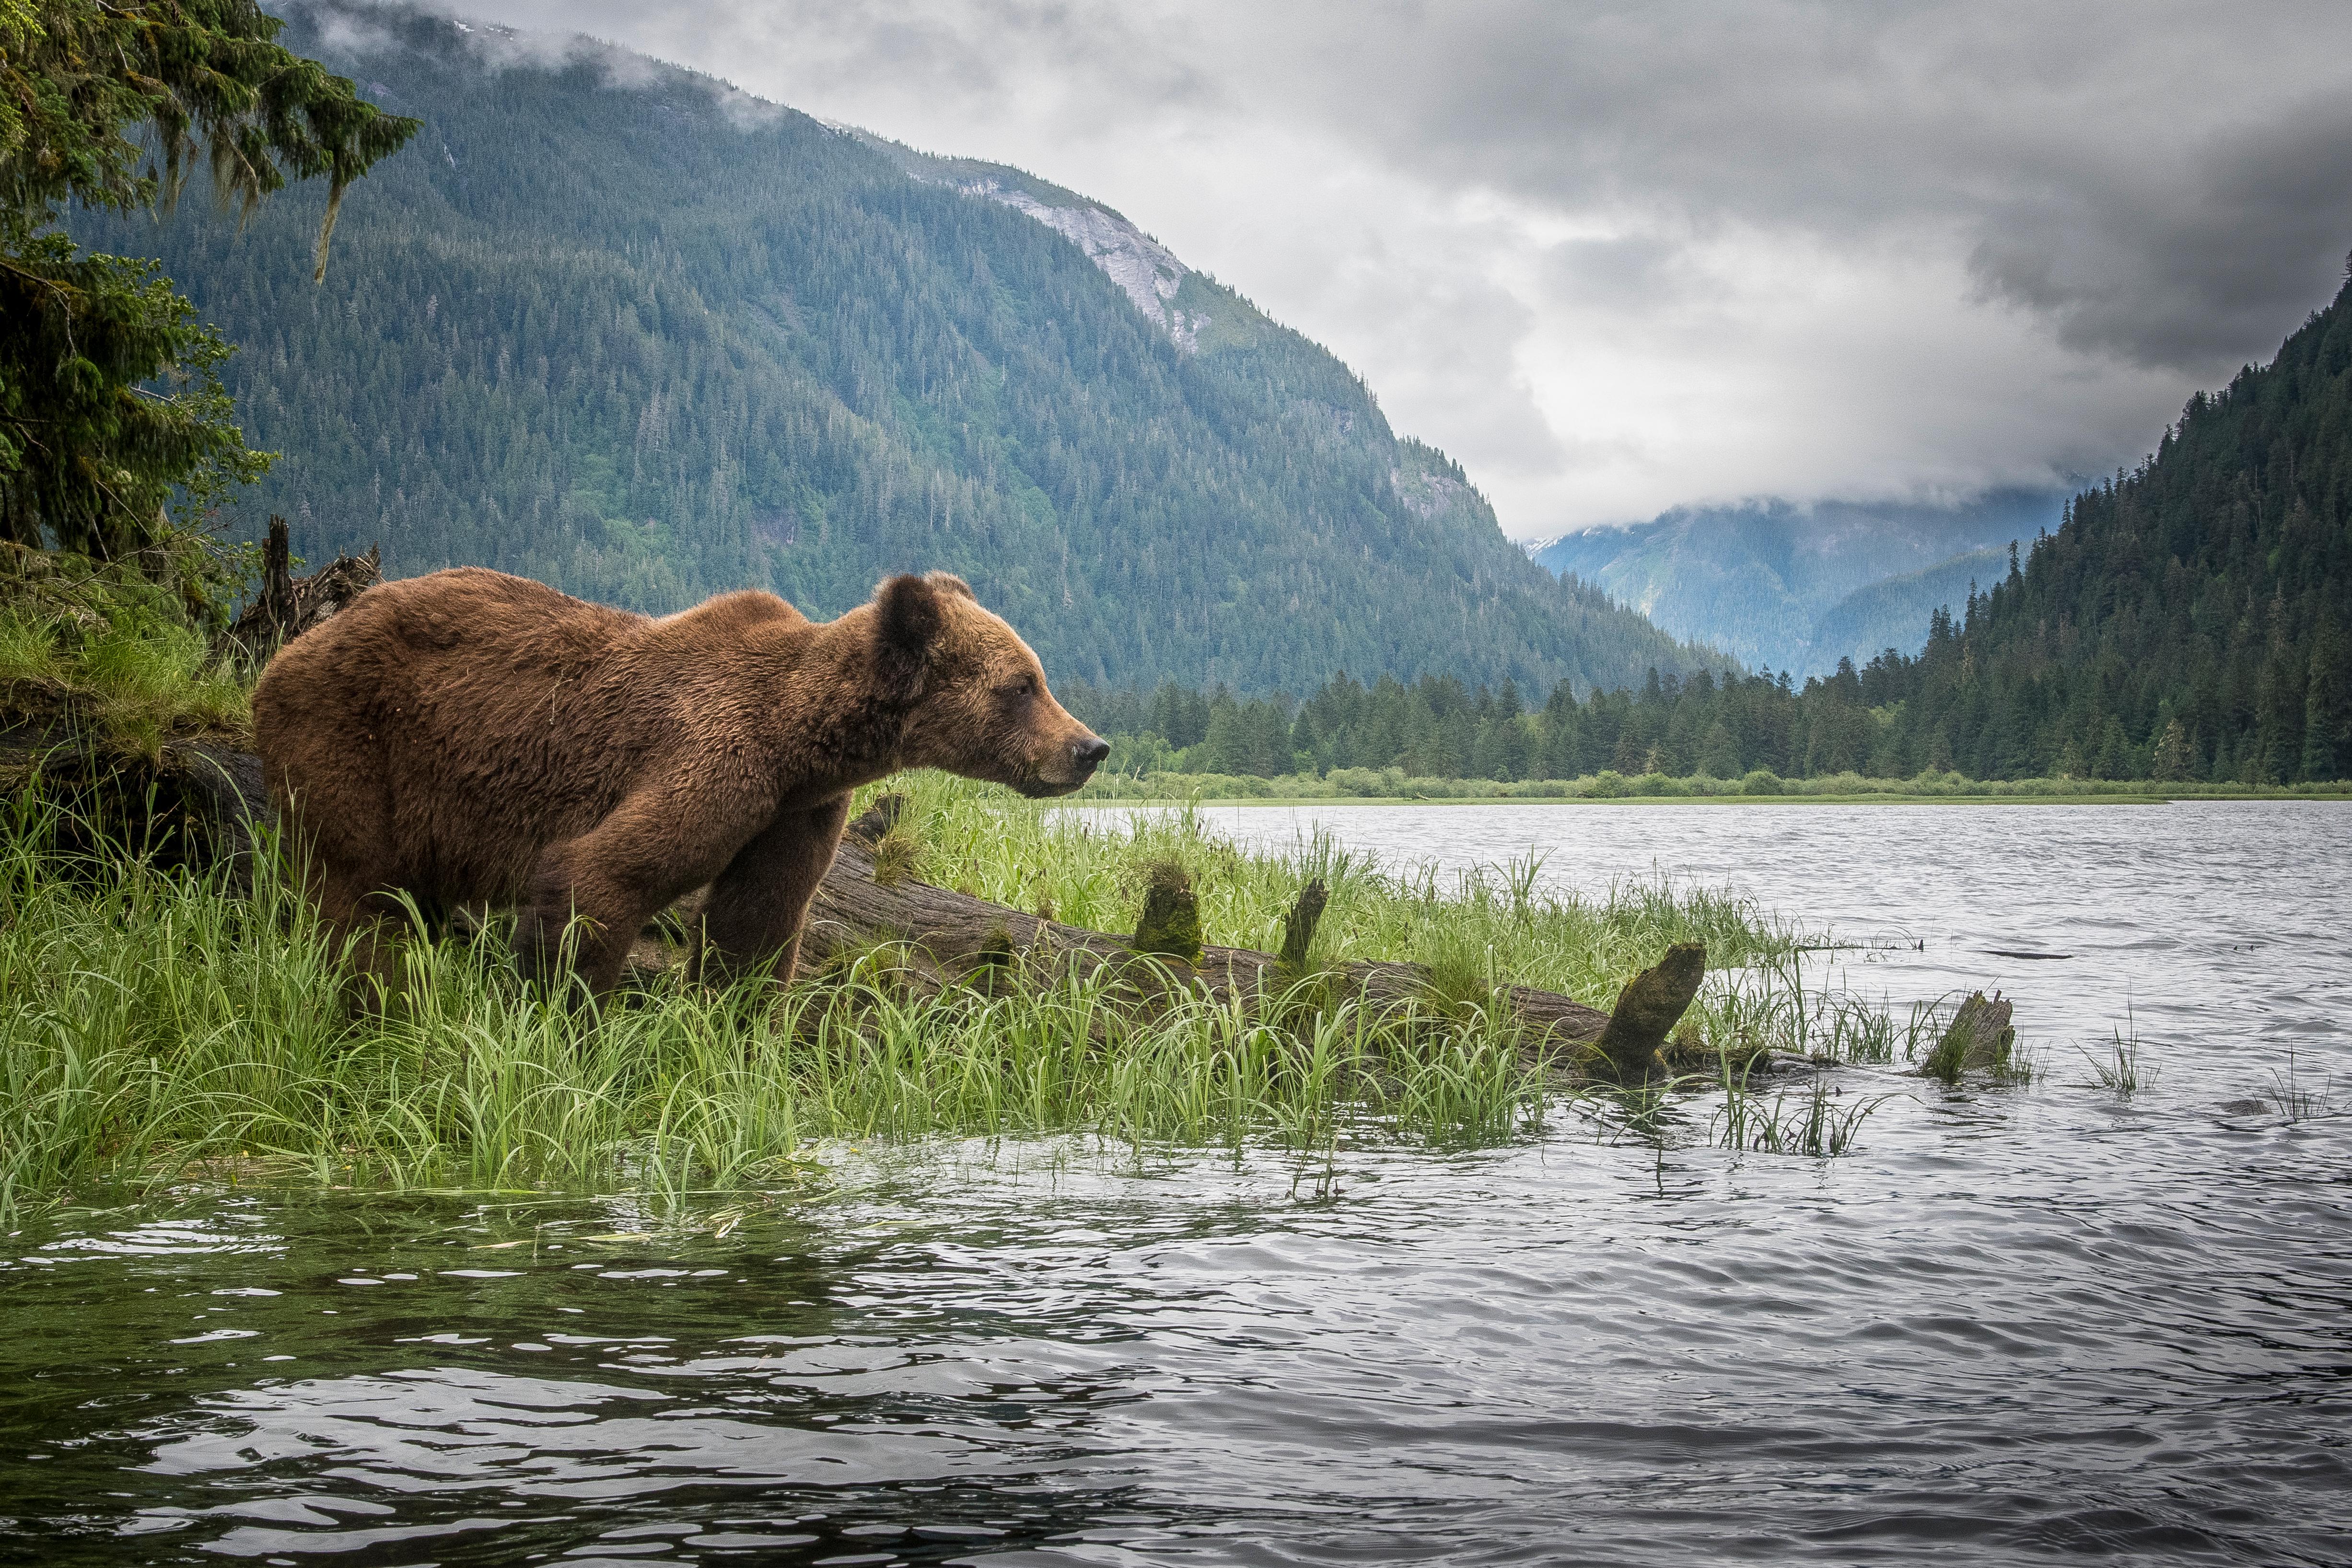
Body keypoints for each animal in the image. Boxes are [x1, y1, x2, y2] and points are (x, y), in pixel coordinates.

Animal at [257, 571, 1101, 1001]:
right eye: (1021, 685)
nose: (1088, 747)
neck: (800, 739)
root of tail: (290, 648)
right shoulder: (710, 759)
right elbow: (599, 876)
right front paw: (564, 1031)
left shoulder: (792, 813)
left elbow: (756, 924)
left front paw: (740, 1035)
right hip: (354, 742)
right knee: (357, 897)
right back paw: (376, 1003)